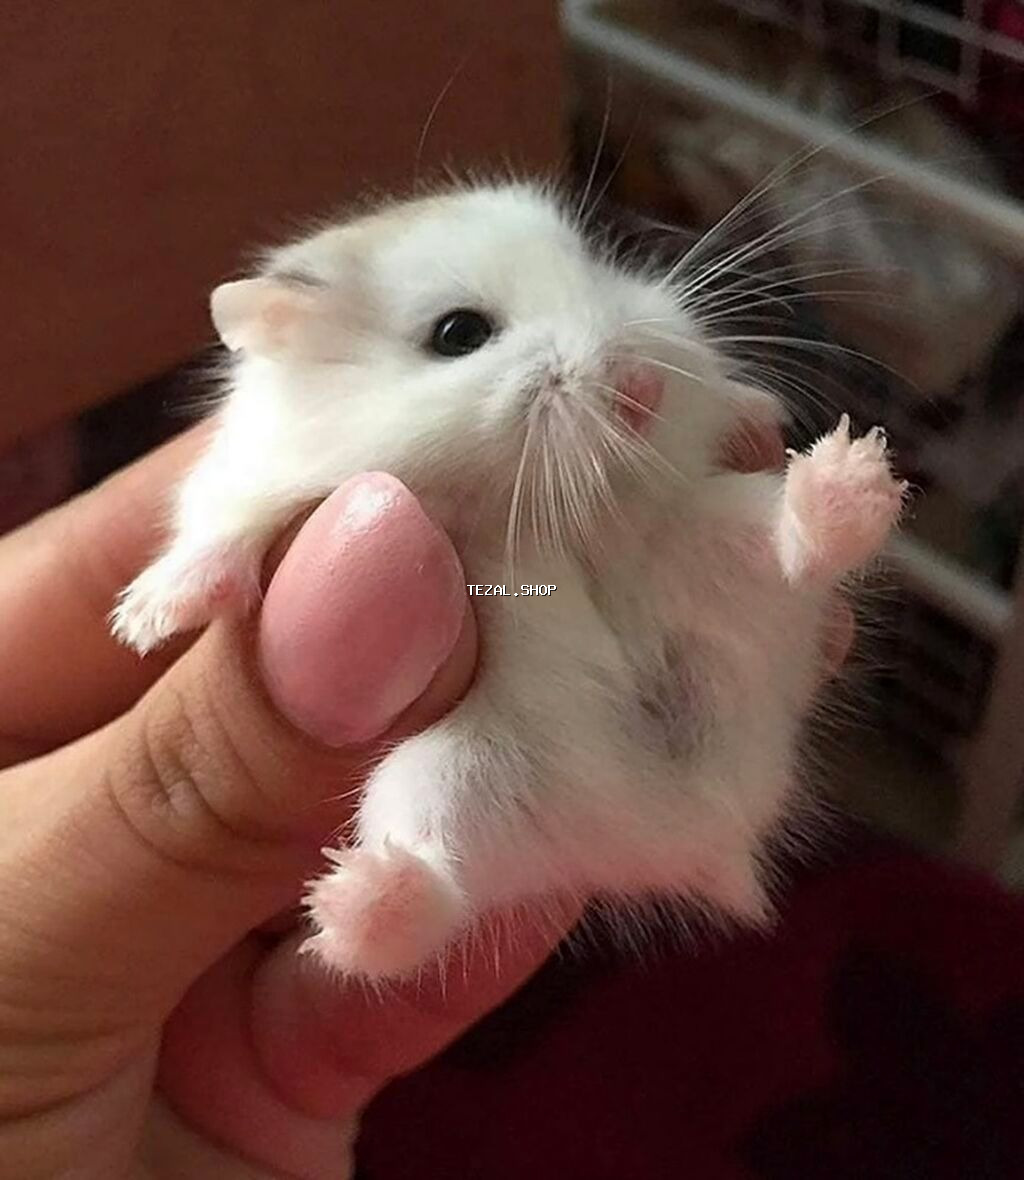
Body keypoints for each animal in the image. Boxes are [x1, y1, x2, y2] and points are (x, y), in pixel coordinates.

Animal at [111, 182, 905, 980]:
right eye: (458, 334)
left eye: (595, 266)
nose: (642, 389)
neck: (526, 503)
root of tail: (689, 831)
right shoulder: (253, 485)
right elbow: (220, 536)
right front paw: (145, 624)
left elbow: (718, 400)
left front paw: (756, 408)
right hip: (456, 772)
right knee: (433, 890)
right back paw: (352, 900)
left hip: (710, 541)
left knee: (790, 550)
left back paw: (850, 476)